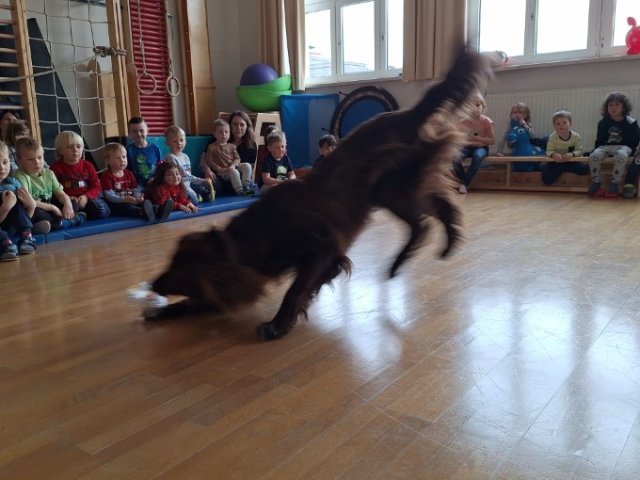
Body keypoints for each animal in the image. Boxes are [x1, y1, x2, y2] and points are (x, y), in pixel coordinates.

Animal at [150, 47, 496, 340]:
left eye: (180, 267)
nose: (153, 283)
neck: (252, 236)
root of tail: (408, 115)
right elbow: (205, 299)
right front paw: (165, 311)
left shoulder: (324, 250)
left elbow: (295, 289)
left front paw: (277, 324)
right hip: (395, 189)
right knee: (435, 210)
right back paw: (445, 243)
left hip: (394, 187)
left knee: (423, 220)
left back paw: (414, 256)